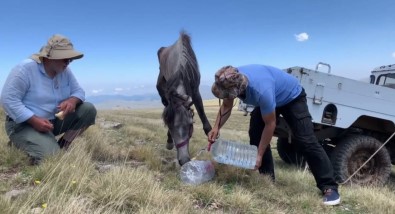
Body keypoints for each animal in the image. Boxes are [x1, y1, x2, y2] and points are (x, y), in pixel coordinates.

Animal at [157, 31, 213, 166]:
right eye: (169, 127)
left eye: (190, 125)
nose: (184, 160)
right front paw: (169, 141)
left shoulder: (196, 91)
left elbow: (202, 113)